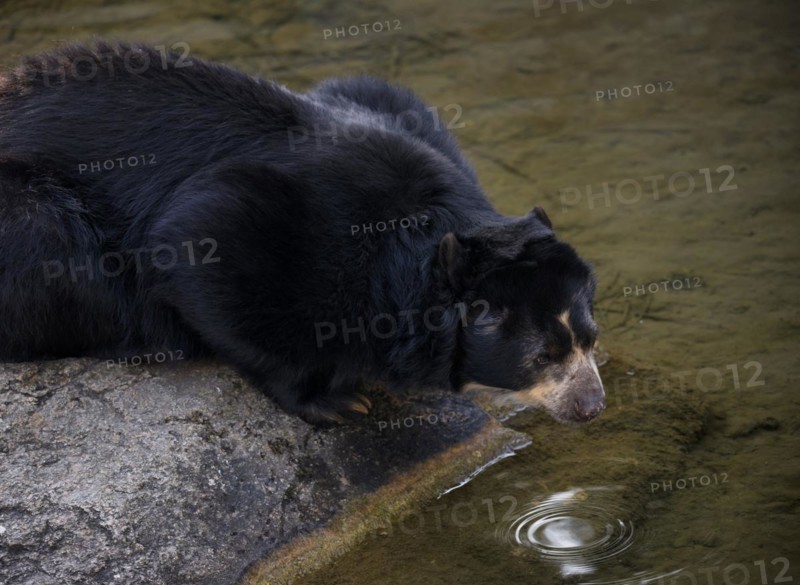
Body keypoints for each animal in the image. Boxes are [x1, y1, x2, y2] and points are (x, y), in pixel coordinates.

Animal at [0, 41, 605, 424]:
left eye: (591, 339)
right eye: (542, 356)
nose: (592, 405)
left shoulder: (386, 100)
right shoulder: (262, 220)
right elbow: (194, 243)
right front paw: (337, 401)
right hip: (30, 219)